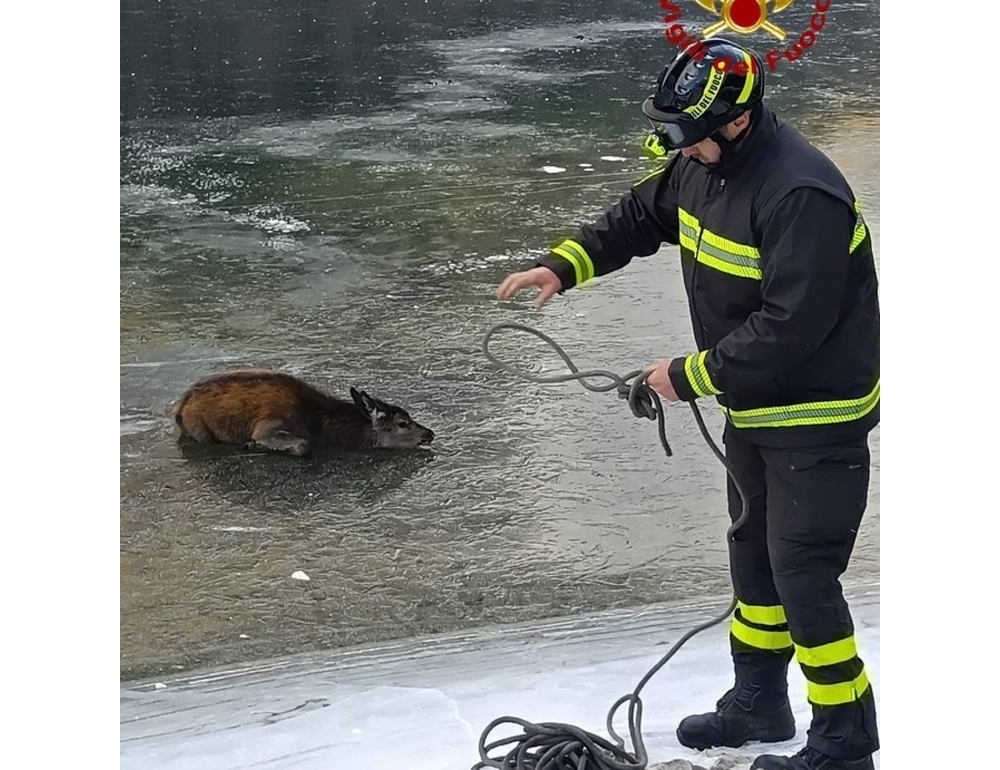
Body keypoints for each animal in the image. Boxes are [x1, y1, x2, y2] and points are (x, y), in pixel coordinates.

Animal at [172, 369, 435, 457]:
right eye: (403, 423)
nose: (429, 433)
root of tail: (179, 408)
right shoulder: (269, 426)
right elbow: (302, 445)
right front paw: (251, 445)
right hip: (199, 430)